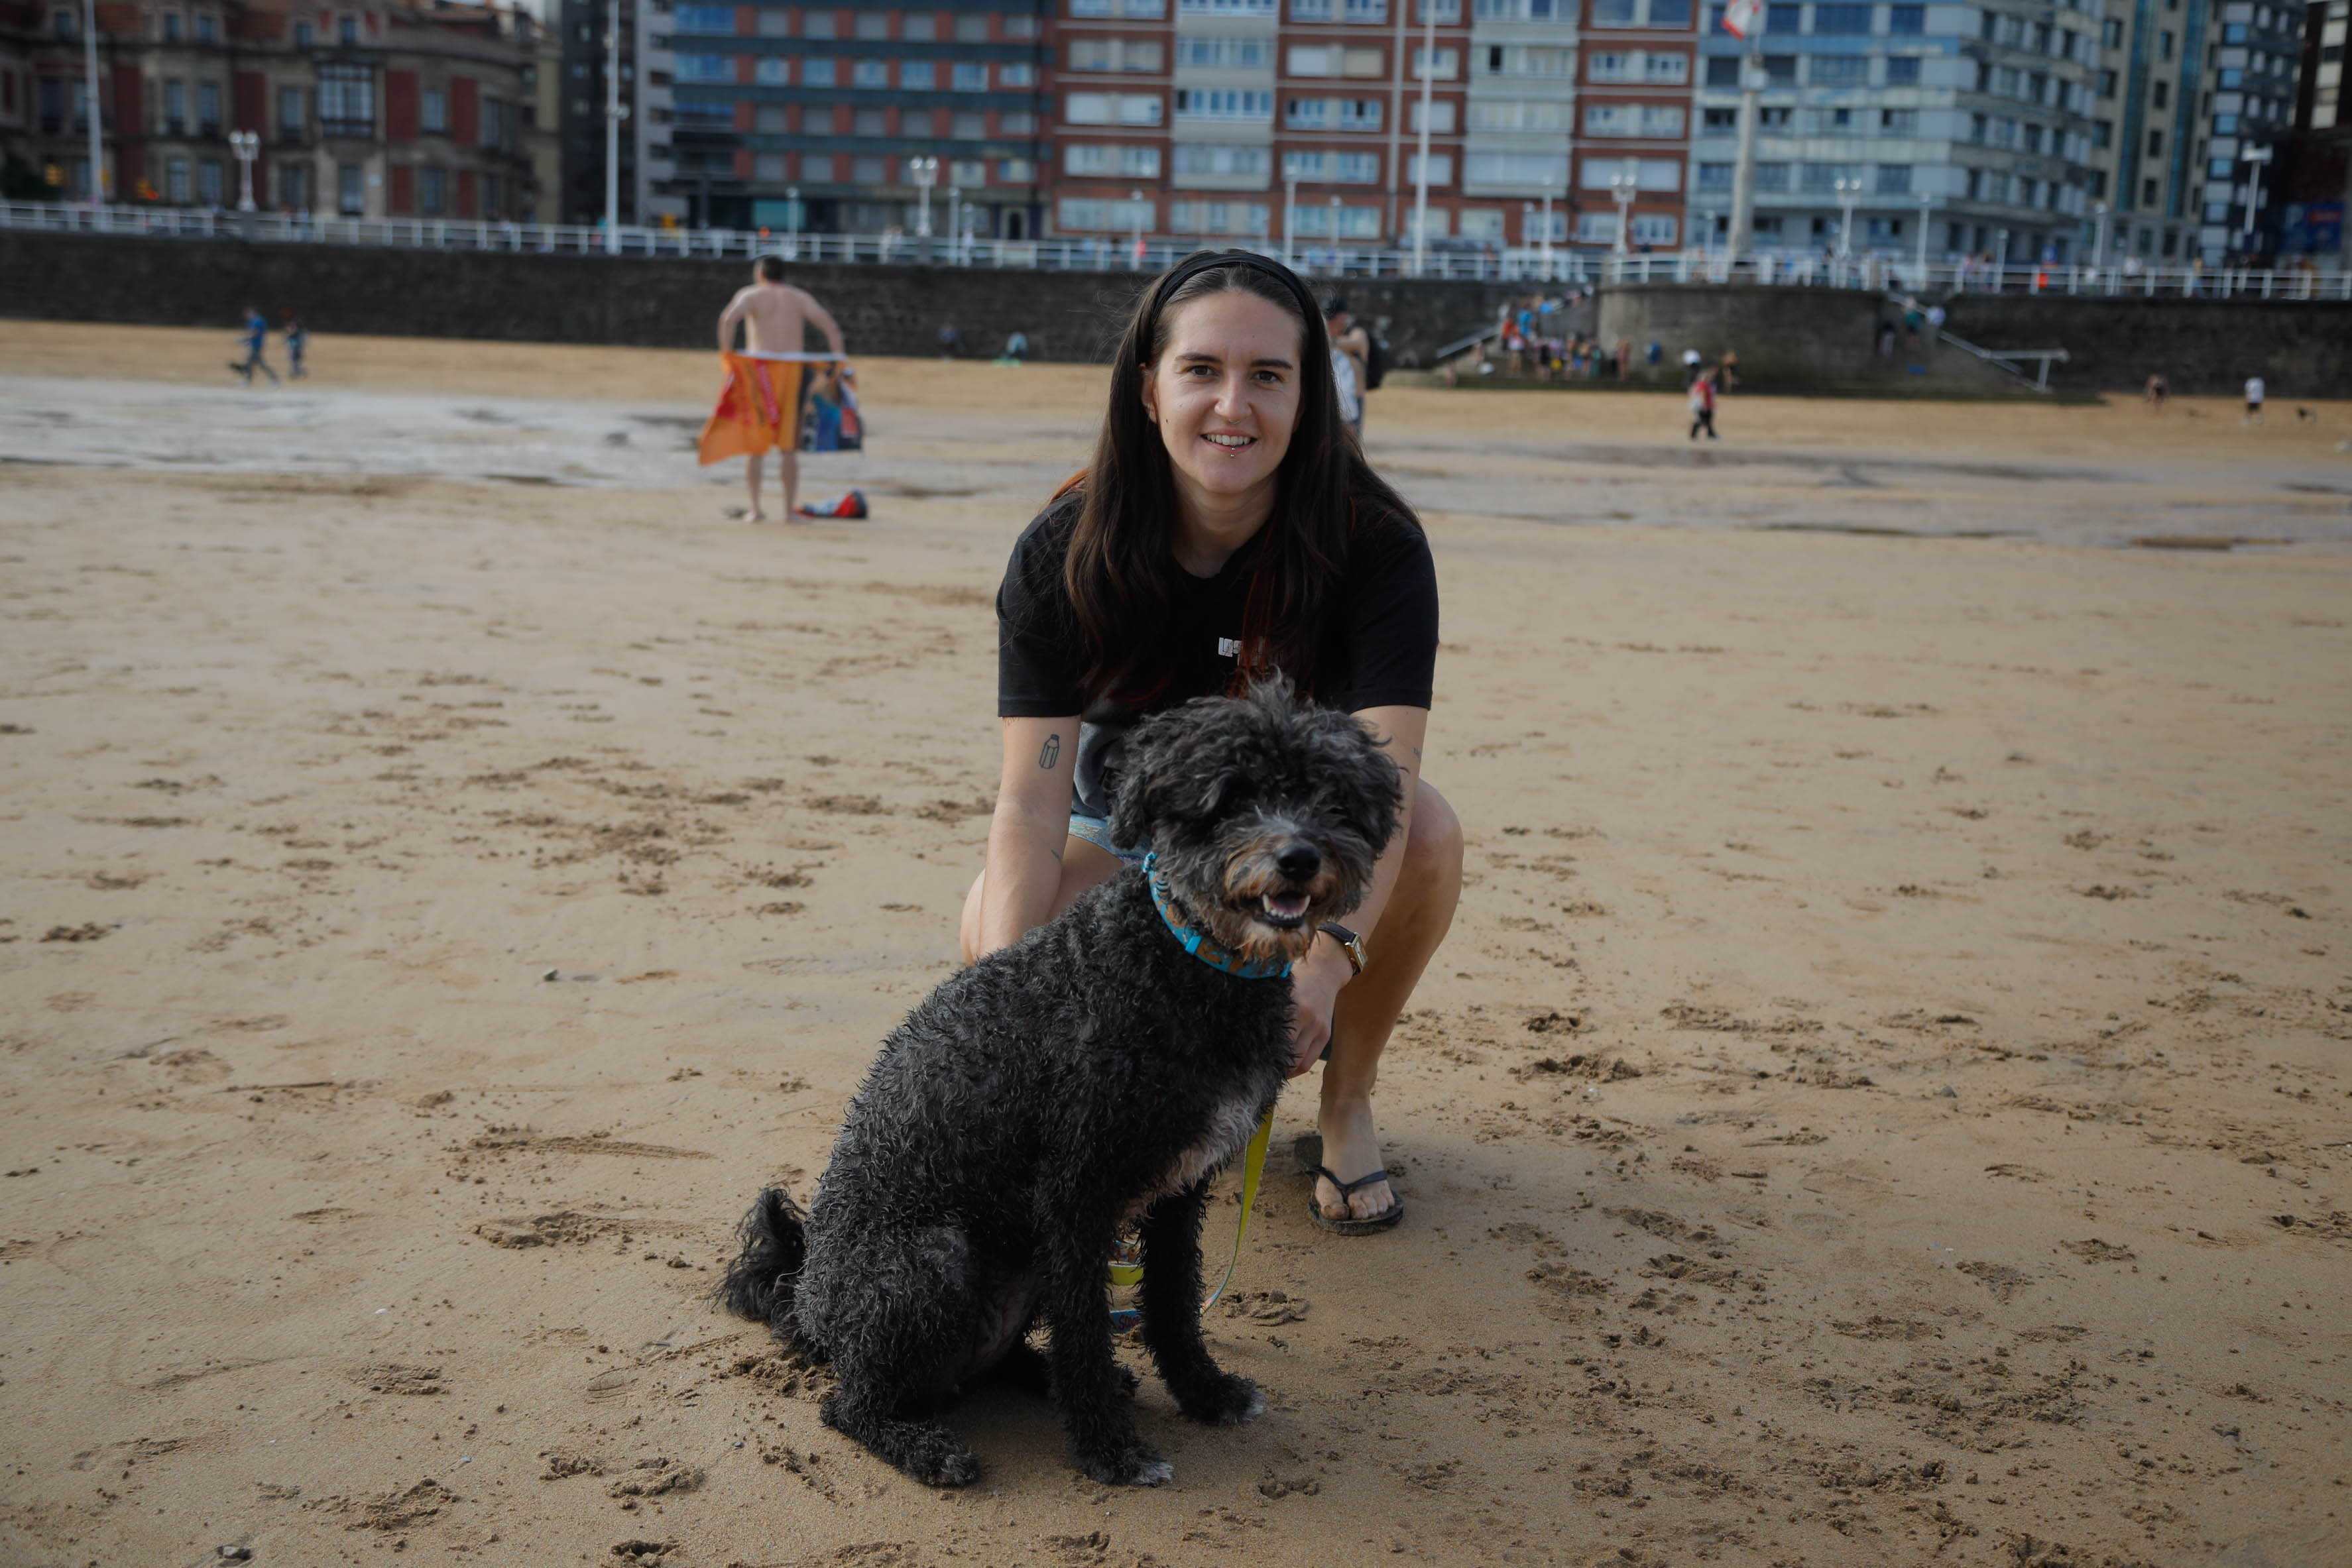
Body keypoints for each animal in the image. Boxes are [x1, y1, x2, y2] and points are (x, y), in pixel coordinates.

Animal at [715, 681, 1392, 1495]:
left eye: (1329, 795)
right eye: (1229, 796)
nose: (1297, 857)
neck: (1186, 963)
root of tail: (811, 1308)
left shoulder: (1179, 1190)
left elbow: (1172, 1301)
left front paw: (1203, 1392)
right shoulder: (1076, 1191)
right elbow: (1086, 1331)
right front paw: (1108, 1447)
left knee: (996, 1362)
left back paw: (1040, 1377)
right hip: (931, 1260)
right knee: (849, 1405)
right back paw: (923, 1445)